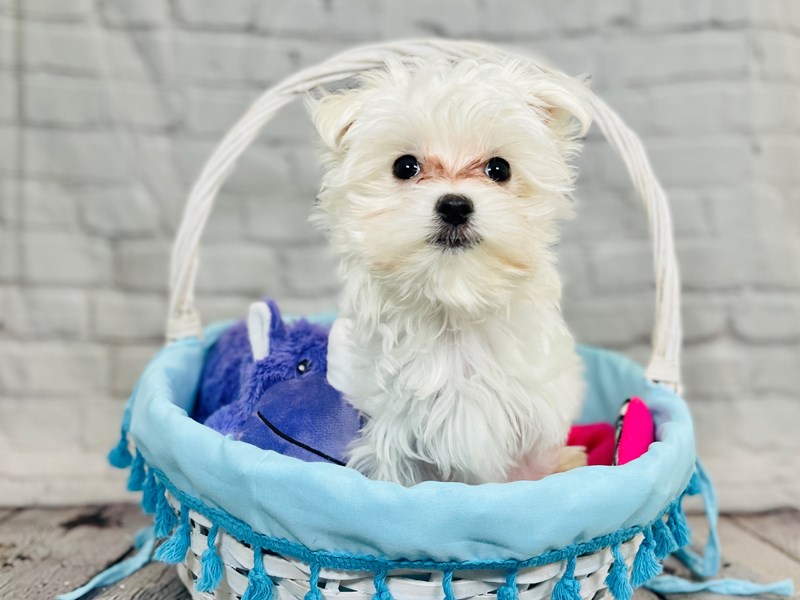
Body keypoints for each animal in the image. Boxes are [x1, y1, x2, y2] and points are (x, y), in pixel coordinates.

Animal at [310, 56, 592, 486]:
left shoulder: (534, 432)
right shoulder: (389, 436)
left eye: (499, 169)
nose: (455, 205)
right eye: (405, 166)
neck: (452, 308)